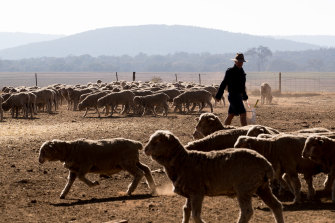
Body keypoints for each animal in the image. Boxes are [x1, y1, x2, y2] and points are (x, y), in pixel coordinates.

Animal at [146, 130, 284, 223]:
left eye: (157, 141)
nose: (145, 149)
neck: (183, 161)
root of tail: (266, 163)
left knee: (247, 212)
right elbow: (186, 210)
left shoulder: (197, 192)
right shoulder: (190, 193)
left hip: (244, 189)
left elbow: (196, 215)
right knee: (276, 206)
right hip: (262, 187)